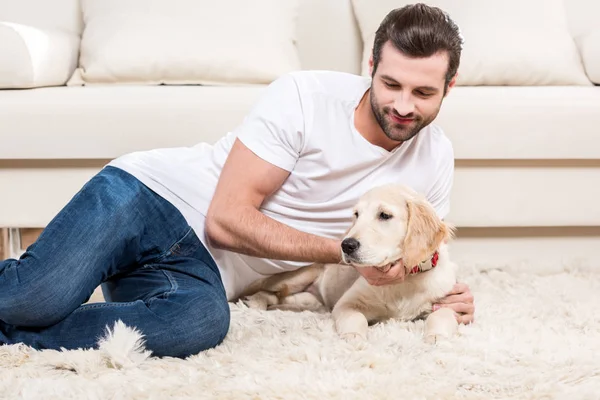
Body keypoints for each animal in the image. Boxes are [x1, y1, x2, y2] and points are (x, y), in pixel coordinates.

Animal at [239, 183, 460, 342]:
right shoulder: (347, 303)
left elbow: (441, 315)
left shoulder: (446, 301)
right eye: (356, 215)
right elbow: (355, 317)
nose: (346, 245)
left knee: (287, 299)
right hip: (298, 277)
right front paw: (353, 336)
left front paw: (437, 337)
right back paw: (255, 301)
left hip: (310, 299)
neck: (403, 282)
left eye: (384, 215)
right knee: (270, 291)